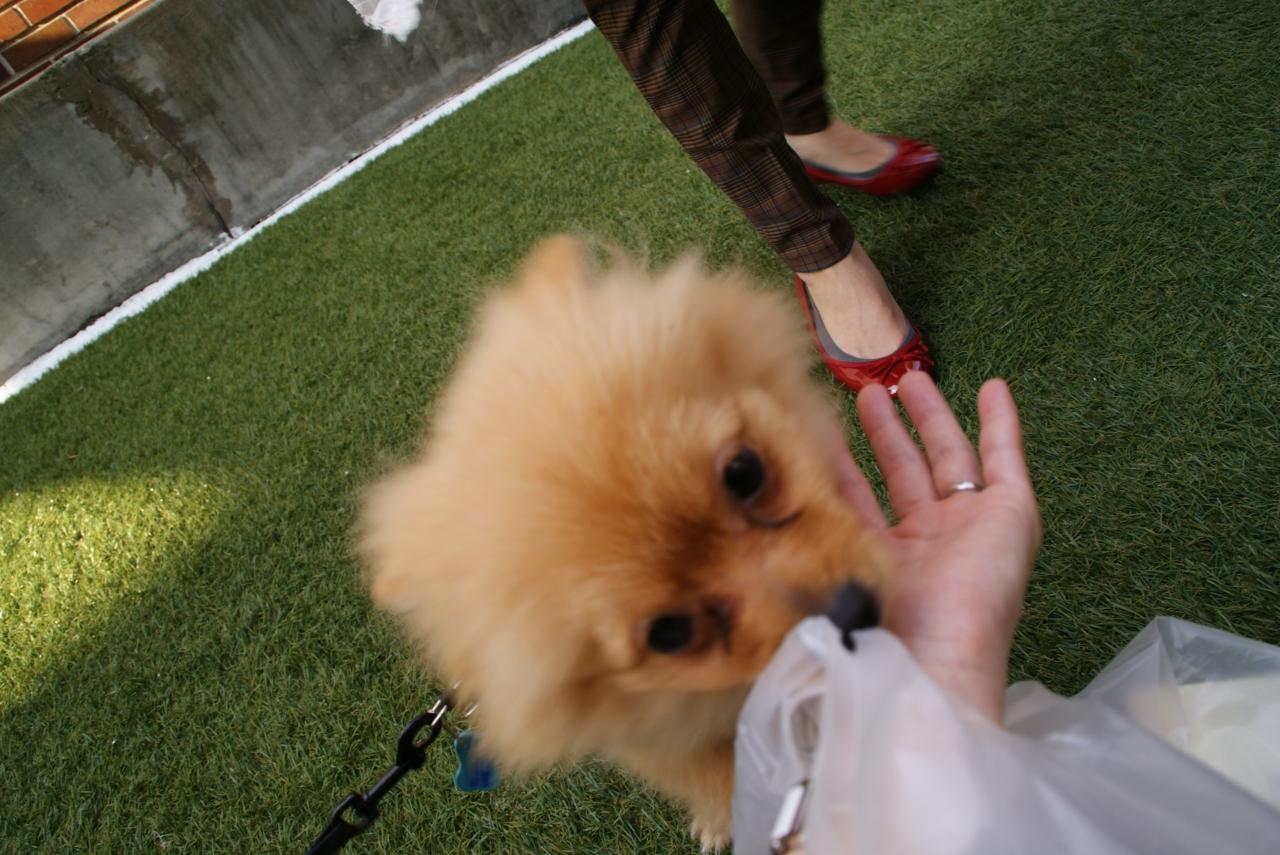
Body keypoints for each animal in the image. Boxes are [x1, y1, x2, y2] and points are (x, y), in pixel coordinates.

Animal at [360, 235, 887, 848]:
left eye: (744, 473)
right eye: (668, 633)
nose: (852, 611)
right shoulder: (667, 743)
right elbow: (714, 780)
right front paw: (725, 821)